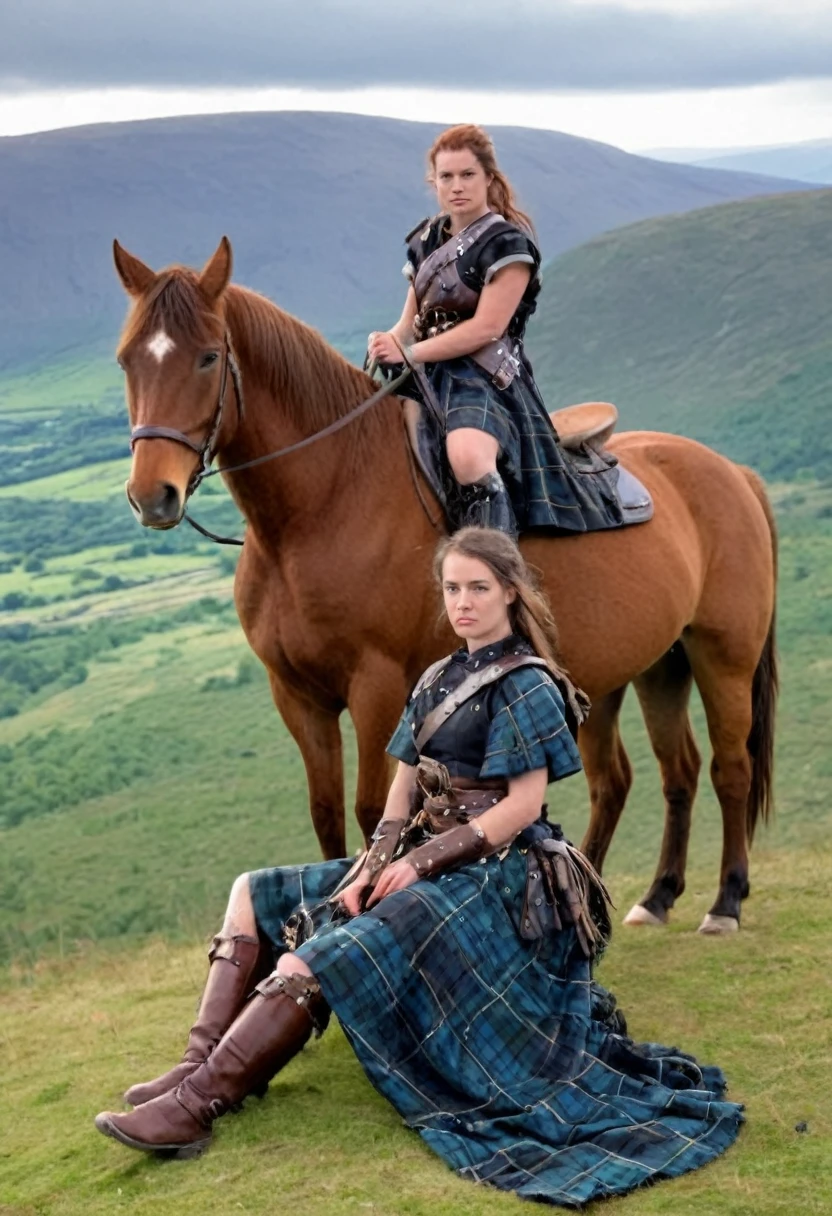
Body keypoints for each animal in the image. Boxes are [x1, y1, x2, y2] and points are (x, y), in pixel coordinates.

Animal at [113, 239, 778, 938]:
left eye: (207, 356)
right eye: (128, 359)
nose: (153, 495)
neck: (322, 506)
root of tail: (731, 471)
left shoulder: (378, 689)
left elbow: (371, 808)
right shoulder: (296, 696)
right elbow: (324, 810)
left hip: (721, 655)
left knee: (730, 768)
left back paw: (725, 902)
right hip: (649, 668)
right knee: (658, 774)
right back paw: (650, 895)